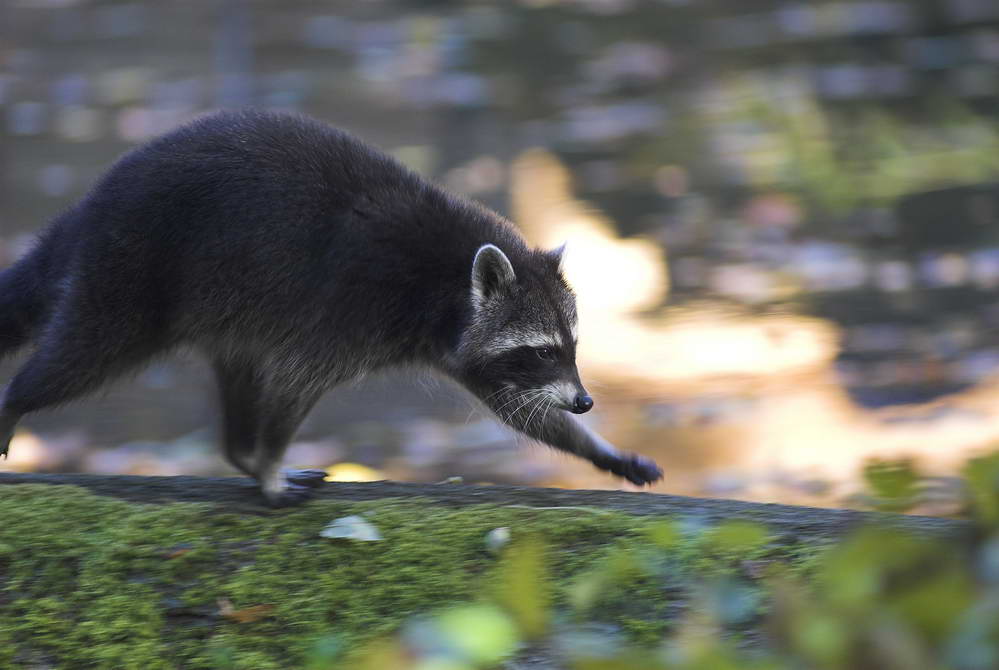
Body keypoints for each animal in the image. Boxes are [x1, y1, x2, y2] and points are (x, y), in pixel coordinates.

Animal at [1, 110, 664, 506]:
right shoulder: (347, 312)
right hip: (130, 275)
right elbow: (295, 384)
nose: (585, 401)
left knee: (239, 370)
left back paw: (239, 453)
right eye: (542, 350)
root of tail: (92, 206)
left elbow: (521, 410)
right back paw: (17, 400)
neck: (448, 282)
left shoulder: (457, 346)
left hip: (227, 304)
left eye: (572, 347)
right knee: (84, 354)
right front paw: (270, 461)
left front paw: (599, 449)